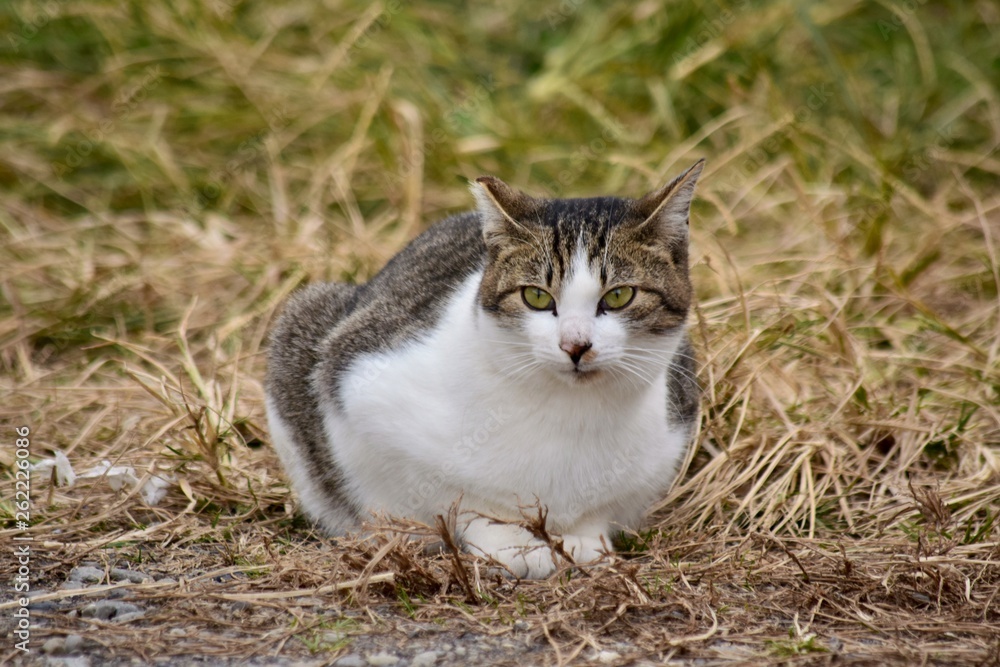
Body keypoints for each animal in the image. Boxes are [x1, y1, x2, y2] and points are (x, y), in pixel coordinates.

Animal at [266, 160, 704, 580]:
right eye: (536, 297)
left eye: (619, 295)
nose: (575, 346)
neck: (570, 411)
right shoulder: (362, 389)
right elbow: (462, 497)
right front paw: (513, 542)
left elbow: (599, 508)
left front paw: (581, 539)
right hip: (304, 315)